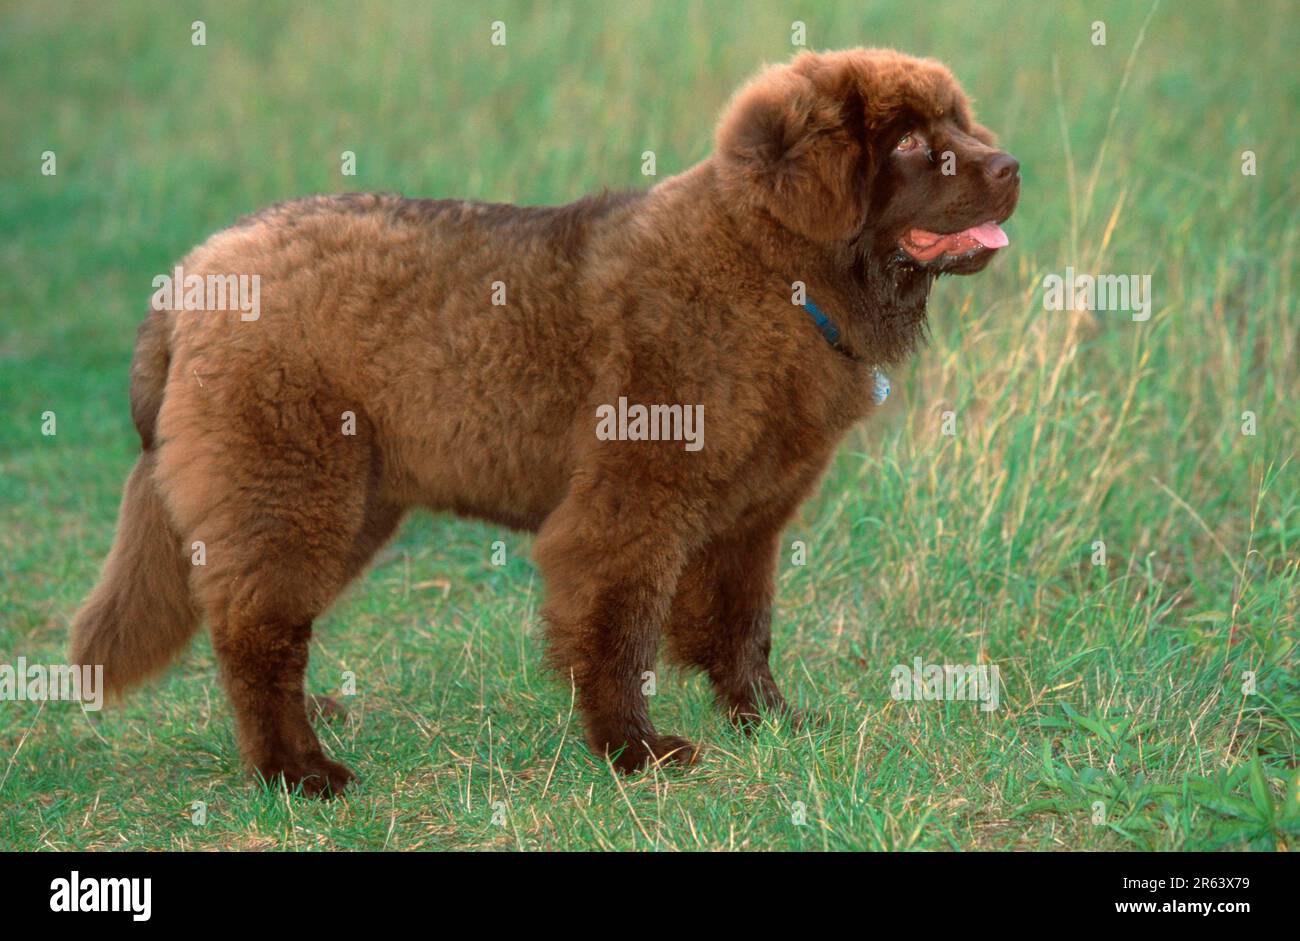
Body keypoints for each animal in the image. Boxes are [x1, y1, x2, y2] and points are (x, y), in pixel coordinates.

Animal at [73, 49, 1013, 795]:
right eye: (908, 144)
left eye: (959, 125)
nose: (1009, 165)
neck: (771, 273)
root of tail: (194, 273)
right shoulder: (630, 507)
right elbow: (619, 632)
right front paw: (635, 752)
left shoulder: (749, 519)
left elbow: (743, 628)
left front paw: (772, 723)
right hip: (290, 486)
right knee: (256, 632)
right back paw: (297, 771)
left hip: (349, 501)